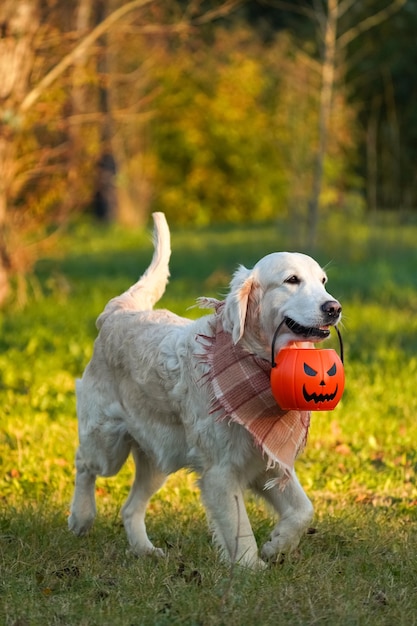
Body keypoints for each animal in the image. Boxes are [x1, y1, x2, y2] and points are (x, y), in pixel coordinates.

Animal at [68, 212, 342, 568]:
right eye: (292, 280)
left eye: (322, 281)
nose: (333, 307)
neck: (254, 364)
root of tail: (119, 311)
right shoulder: (221, 470)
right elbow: (239, 529)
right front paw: (250, 568)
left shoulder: (264, 458)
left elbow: (303, 510)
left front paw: (278, 544)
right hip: (107, 444)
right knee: (83, 463)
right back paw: (81, 516)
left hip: (158, 457)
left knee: (129, 508)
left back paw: (144, 549)